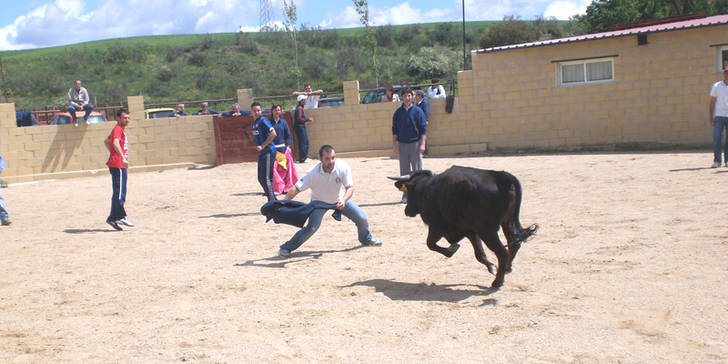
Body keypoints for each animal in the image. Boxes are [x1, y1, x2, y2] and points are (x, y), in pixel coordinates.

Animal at [390, 166, 536, 288]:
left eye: (409, 191)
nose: (407, 211)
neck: (427, 189)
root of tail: (501, 176)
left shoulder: (437, 227)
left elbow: (430, 244)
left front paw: (451, 250)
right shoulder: (470, 231)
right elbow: (479, 254)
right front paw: (491, 266)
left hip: (487, 231)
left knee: (502, 252)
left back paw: (498, 282)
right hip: (508, 221)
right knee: (514, 243)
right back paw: (507, 269)